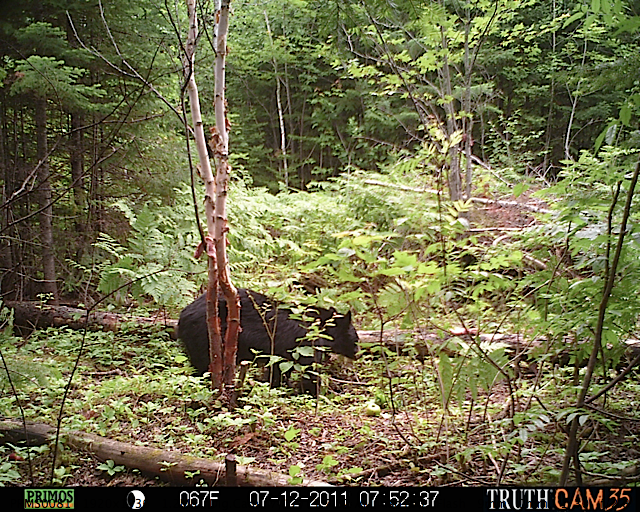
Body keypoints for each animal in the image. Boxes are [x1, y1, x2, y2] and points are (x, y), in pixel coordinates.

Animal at [178, 290, 358, 394]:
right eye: (355, 339)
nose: (358, 354)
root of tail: (182, 316)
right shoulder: (305, 344)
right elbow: (310, 370)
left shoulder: (281, 354)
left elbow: (278, 369)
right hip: (204, 337)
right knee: (204, 365)